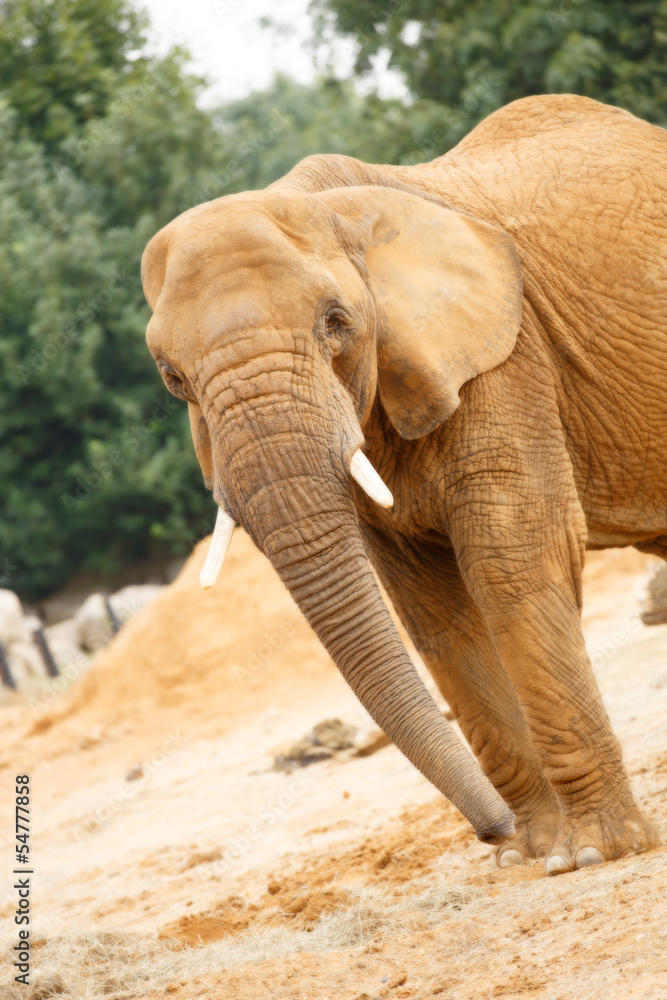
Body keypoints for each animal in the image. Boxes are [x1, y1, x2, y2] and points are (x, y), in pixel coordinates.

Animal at [141, 94, 665, 875]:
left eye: (336, 323)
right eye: (173, 377)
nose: (491, 831)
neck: (329, 208)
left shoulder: (501, 357)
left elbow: (510, 563)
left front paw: (591, 854)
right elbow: (432, 611)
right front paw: (530, 854)